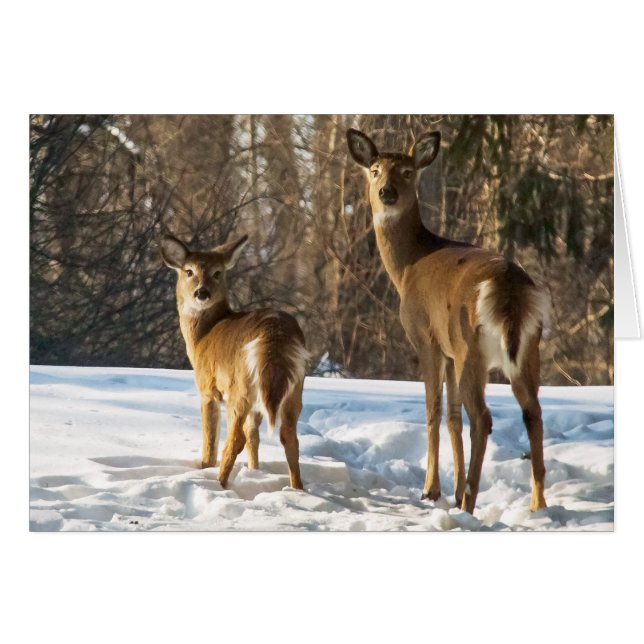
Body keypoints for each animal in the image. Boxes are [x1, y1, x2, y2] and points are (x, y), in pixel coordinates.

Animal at [160, 233, 309, 490]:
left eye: (217, 273)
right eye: (189, 271)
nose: (202, 292)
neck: (202, 337)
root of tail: (275, 334)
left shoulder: (208, 388)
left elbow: (211, 437)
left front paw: (204, 466)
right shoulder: (258, 404)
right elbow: (253, 436)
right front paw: (255, 470)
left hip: (240, 387)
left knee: (235, 438)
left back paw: (219, 483)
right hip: (294, 387)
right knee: (288, 435)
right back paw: (297, 488)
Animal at [347, 128, 548, 515]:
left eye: (407, 171)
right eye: (375, 170)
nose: (387, 193)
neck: (407, 267)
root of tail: (509, 288)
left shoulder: (427, 338)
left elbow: (433, 410)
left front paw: (432, 490)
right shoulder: (451, 351)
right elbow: (454, 417)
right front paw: (452, 491)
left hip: (472, 347)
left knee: (483, 418)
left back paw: (471, 501)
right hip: (528, 348)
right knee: (532, 412)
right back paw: (537, 505)